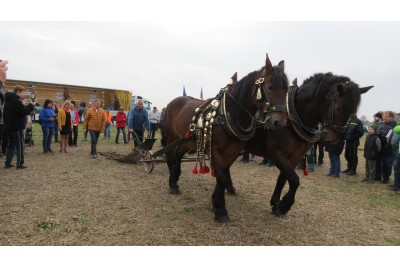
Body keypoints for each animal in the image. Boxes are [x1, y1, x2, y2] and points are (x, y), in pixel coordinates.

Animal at [161, 55, 290, 224]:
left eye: (287, 90)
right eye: (270, 86)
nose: (279, 122)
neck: (228, 114)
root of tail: (172, 103)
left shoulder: (233, 151)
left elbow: (223, 174)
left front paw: (215, 202)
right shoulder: (215, 150)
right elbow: (221, 175)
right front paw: (220, 209)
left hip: (188, 140)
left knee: (178, 155)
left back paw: (176, 177)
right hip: (171, 137)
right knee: (170, 157)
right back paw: (172, 184)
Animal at [242, 73, 374, 218]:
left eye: (352, 112)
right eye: (339, 109)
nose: (332, 140)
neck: (291, 120)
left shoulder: (293, 157)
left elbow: (283, 179)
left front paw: (276, 204)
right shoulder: (276, 154)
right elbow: (294, 180)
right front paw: (284, 205)